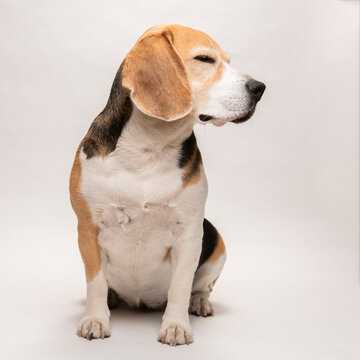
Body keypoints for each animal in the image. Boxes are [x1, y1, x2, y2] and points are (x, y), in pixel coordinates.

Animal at [69, 23, 264, 344]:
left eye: (228, 61)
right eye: (205, 59)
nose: (259, 88)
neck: (150, 147)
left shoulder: (190, 234)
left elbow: (180, 286)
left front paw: (175, 326)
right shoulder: (88, 229)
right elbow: (95, 283)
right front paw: (95, 320)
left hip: (216, 243)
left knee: (201, 287)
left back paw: (199, 303)